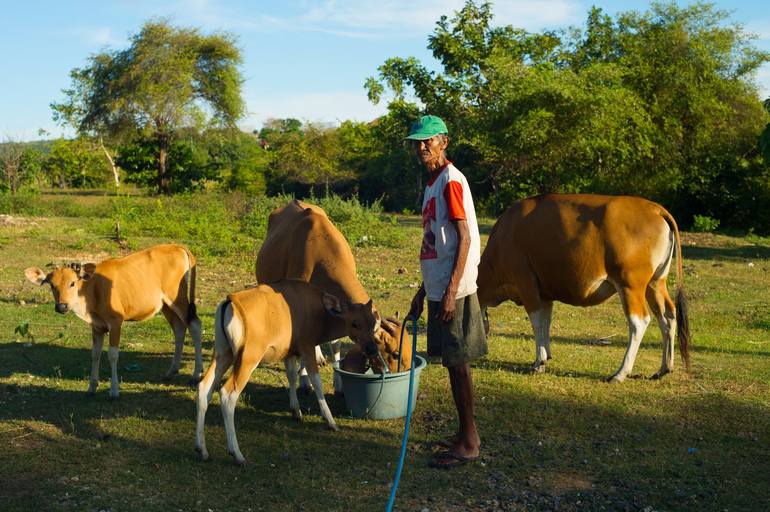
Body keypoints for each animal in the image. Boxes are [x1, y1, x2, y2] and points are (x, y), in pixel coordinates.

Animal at [25, 242, 202, 398]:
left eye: (72, 283)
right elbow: (95, 354)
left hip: (177, 297)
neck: (92, 289)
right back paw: (171, 371)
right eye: (51, 285)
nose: (62, 306)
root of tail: (178, 247)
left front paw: (114, 390)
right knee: (179, 328)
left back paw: (196, 374)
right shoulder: (96, 327)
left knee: (194, 325)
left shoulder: (116, 322)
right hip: (165, 304)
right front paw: (91, 387)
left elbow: (112, 355)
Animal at [194, 278, 380, 466]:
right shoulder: (307, 344)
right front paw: (331, 421)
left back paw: (202, 449)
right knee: (227, 393)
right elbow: (316, 381)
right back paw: (237, 454)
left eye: (372, 322)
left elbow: (291, 375)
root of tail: (229, 302)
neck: (321, 318)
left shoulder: (289, 351)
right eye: (354, 323)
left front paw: (296, 411)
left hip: (223, 351)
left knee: (204, 387)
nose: (372, 348)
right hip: (248, 355)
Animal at [256, 200, 402, 392]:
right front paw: (304, 380)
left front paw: (338, 382)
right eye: (392, 353)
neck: (320, 252)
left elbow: (335, 343)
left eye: (373, 325)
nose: (371, 349)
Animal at [474, 194, 688, 382]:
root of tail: (656, 209)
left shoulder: (527, 285)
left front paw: (539, 362)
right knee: (668, 315)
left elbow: (537, 323)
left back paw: (620, 373)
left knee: (639, 322)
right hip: (656, 283)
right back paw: (664, 368)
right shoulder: (545, 293)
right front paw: (547, 355)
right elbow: (546, 321)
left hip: (630, 285)